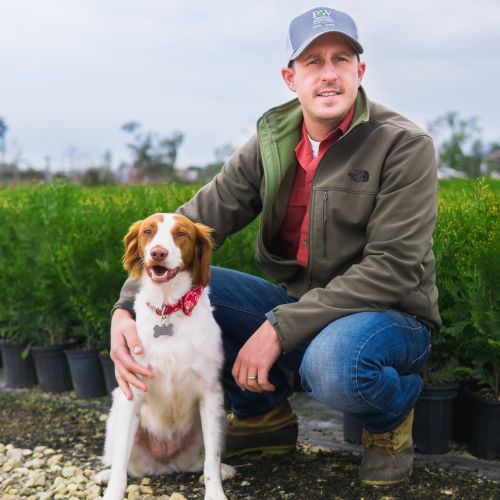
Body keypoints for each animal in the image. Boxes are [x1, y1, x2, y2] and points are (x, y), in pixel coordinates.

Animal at [97, 214, 234, 500]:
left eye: (181, 234)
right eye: (148, 231)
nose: (158, 253)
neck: (167, 308)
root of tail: (165, 466)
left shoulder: (211, 394)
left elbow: (211, 461)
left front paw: (216, 492)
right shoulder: (132, 390)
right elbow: (120, 467)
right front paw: (113, 491)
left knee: (202, 461)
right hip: (117, 412)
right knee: (120, 461)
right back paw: (105, 473)